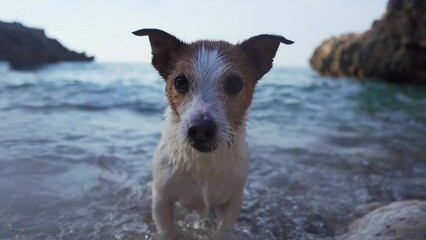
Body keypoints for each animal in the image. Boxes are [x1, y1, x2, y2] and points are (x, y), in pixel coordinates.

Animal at [133, 28, 292, 238]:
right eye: (180, 81)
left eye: (234, 83)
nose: (201, 129)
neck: (202, 163)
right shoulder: (161, 199)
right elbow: (168, 231)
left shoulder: (233, 201)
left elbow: (223, 231)